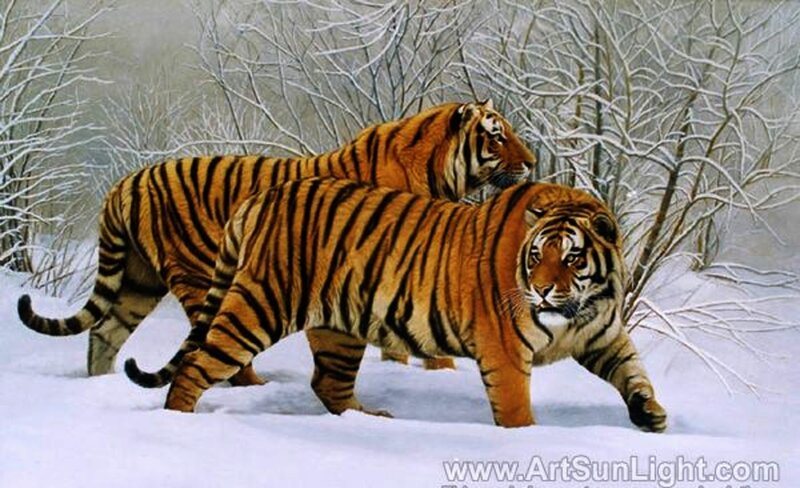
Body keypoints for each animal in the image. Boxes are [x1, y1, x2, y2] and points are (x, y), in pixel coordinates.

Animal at [17, 99, 535, 385]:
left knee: (105, 331)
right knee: (208, 339)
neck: (440, 173)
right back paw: (250, 382)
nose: (531, 162)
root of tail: (127, 181)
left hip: (139, 279)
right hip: (199, 271)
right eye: (496, 136)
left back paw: (100, 384)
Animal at [145, 178, 667, 432]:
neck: (581, 309)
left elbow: (633, 370)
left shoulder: (603, 334)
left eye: (573, 257)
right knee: (196, 364)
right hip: (259, 305)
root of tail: (261, 195)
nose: (539, 291)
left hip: (338, 330)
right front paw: (528, 440)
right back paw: (179, 423)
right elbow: (516, 407)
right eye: (537, 256)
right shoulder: (504, 351)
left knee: (328, 384)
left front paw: (651, 414)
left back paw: (369, 419)